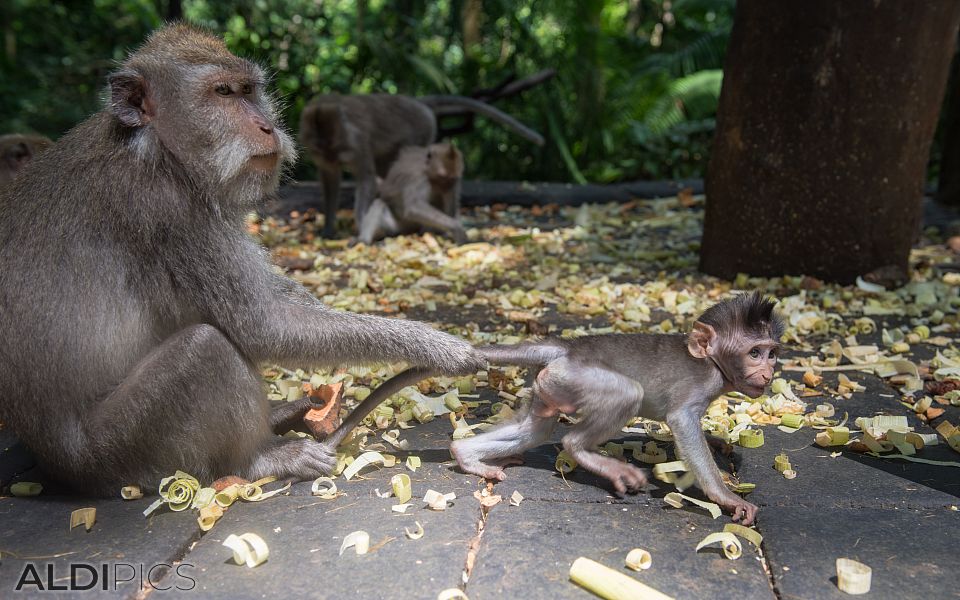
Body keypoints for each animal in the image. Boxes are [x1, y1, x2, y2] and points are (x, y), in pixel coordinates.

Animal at [0, 24, 484, 496]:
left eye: (248, 90)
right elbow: (263, 324)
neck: (155, 146)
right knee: (205, 349)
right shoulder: (170, 210)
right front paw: (439, 346)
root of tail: (58, 465)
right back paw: (256, 460)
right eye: (222, 93)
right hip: (118, 452)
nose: (266, 126)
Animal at [296, 94, 544, 237]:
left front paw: (358, 222)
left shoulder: (357, 145)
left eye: (335, 149)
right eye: (322, 151)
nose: (331, 158)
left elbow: (366, 177)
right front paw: (328, 229)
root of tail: (418, 103)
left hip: (421, 130)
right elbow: (330, 179)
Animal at [322, 292, 780, 524]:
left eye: (772, 352)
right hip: (580, 377)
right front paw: (724, 497)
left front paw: (722, 445)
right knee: (620, 398)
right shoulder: (700, 387)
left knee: (536, 429)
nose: (770, 371)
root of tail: (566, 348)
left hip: (553, 383)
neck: (715, 365)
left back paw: (466, 456)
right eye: (754, 352)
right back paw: (584, 452)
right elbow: (682, 422)